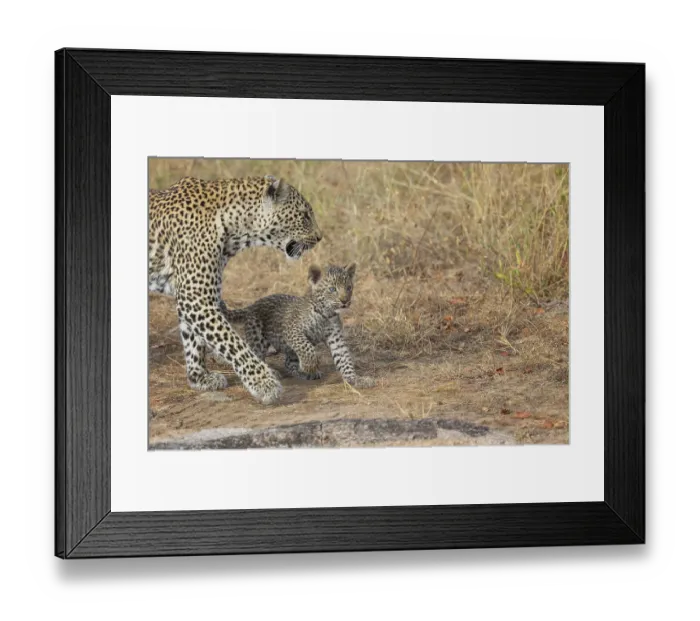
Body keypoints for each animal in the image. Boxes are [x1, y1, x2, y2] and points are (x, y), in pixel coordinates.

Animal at [148, 175, 323, 404]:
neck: (235, 232)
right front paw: (264, 383)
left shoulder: (195, 296)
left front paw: (199, 377)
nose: (320, 237)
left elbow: (193, 340)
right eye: (304, 216)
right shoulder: (195, 297)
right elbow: (233, 343)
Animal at [222, 263, 375, 388]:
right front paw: (309, 366)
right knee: (255, 358)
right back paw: (272, 372)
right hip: (257, 339)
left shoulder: (336, 338)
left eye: (349, 288)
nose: (345, 301)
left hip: (286, 349)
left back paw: (303, 373)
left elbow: (344, 359)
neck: (326, 313)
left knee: (288, 363)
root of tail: (252, 305)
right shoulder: (292, 331)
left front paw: (356, 379)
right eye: (332, 289)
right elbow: (307, 348)